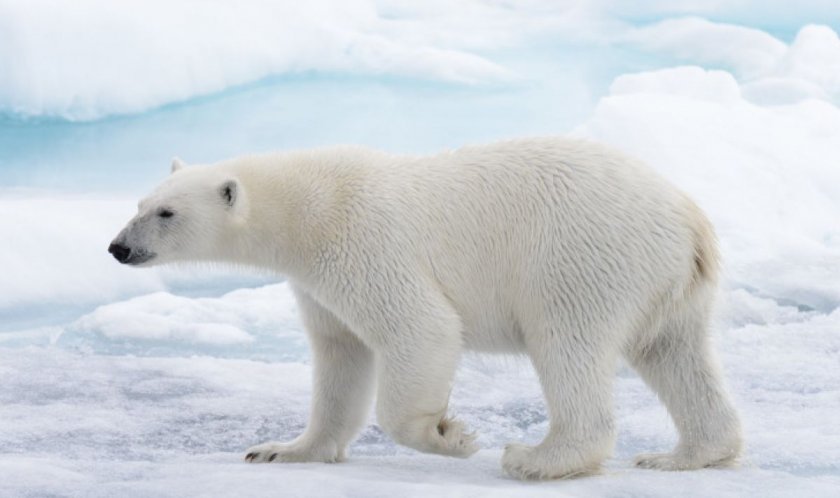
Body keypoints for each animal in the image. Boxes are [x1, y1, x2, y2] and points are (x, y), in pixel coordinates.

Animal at [110, 137, 740, 478]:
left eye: (165, 213)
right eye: (139, 203)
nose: (118, 248)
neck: (307, 209)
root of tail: (688, 217)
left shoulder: (364, 243)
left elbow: (421, 329)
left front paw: (449, 436)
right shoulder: (316, 282)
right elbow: (340, 357)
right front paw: (280, 450)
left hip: (580, 258)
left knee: (568, 344)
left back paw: (537, 458)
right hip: (672, 285)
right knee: (676, 354)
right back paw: (686, 455)